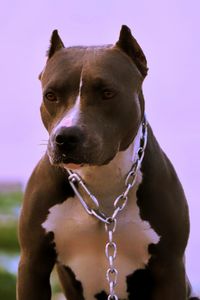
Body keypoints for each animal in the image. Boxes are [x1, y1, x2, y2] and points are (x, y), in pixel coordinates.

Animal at [16, 25, 198, 300]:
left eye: (107, 93)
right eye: (51, 95)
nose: (66, 137)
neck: (100, 177)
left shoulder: (170, 267)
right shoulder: (33, 263)